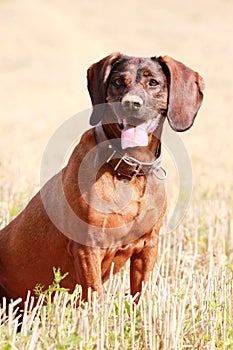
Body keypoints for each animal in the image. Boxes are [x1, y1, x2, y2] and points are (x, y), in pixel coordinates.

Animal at [0, 53, 204, 304]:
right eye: (118, 82)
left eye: (153, 82)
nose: (131, 104)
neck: (128, 171)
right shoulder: (88, 248)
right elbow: (96, 297)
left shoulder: (148, 245)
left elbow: (140, 294)